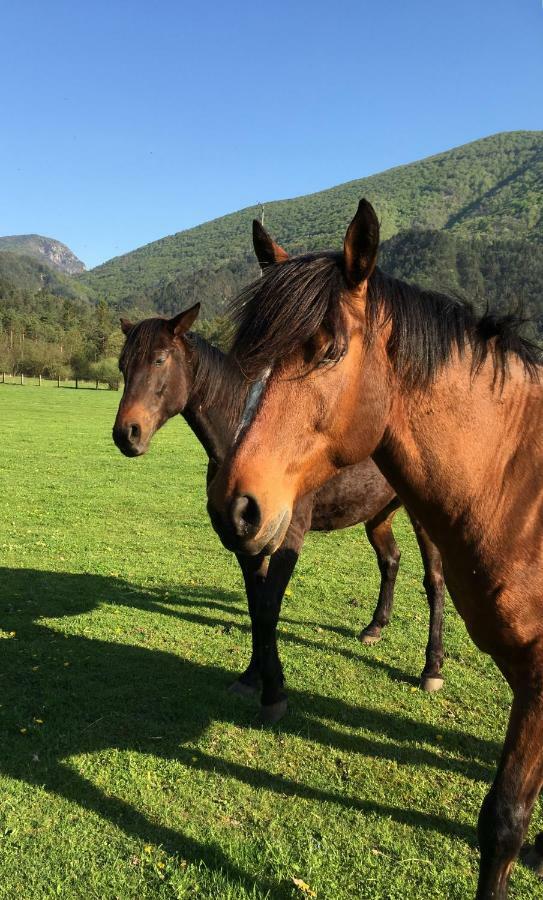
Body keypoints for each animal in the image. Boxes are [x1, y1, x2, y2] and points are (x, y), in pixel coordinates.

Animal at [112, 310, 444, 724]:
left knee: (434, 581)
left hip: (425, 520)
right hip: (377, 514)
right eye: (122, 365)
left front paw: (273, 693)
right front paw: (252, 677)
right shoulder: (244, 539)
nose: (126, 434)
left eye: (159, 359)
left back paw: (432, 668)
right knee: (390, 560)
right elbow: (256, 606)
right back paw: (374, 627)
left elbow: (269, 607)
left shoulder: (288, 536)